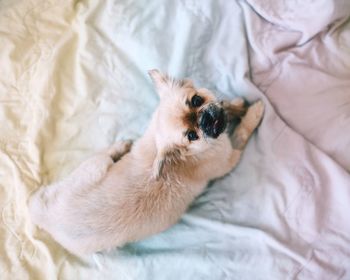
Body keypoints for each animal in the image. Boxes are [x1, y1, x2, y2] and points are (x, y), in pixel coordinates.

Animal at [29, 69, 266, 255]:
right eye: (191, 136)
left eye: (196, 100)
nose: (207, 119)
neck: (188, 154)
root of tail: (45, 217)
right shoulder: (230, 156)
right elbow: (242, 132)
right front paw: (254, 112)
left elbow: (226, 108)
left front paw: (235, 105)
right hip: (97, 165)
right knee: (106, 155)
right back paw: (120, 147)